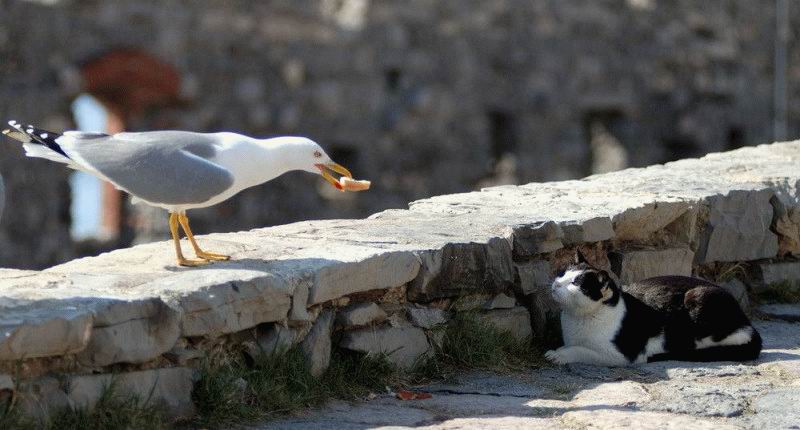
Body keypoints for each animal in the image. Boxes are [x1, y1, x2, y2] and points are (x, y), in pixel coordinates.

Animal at [544, 252, 764, 366]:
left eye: (575, 283)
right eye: (562, 274)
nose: (555, 285)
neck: (577, 320)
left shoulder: (621, 355)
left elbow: (580, 350)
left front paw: (559, 355)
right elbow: (570, 345)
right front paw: (559, 350)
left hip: (697, 300)